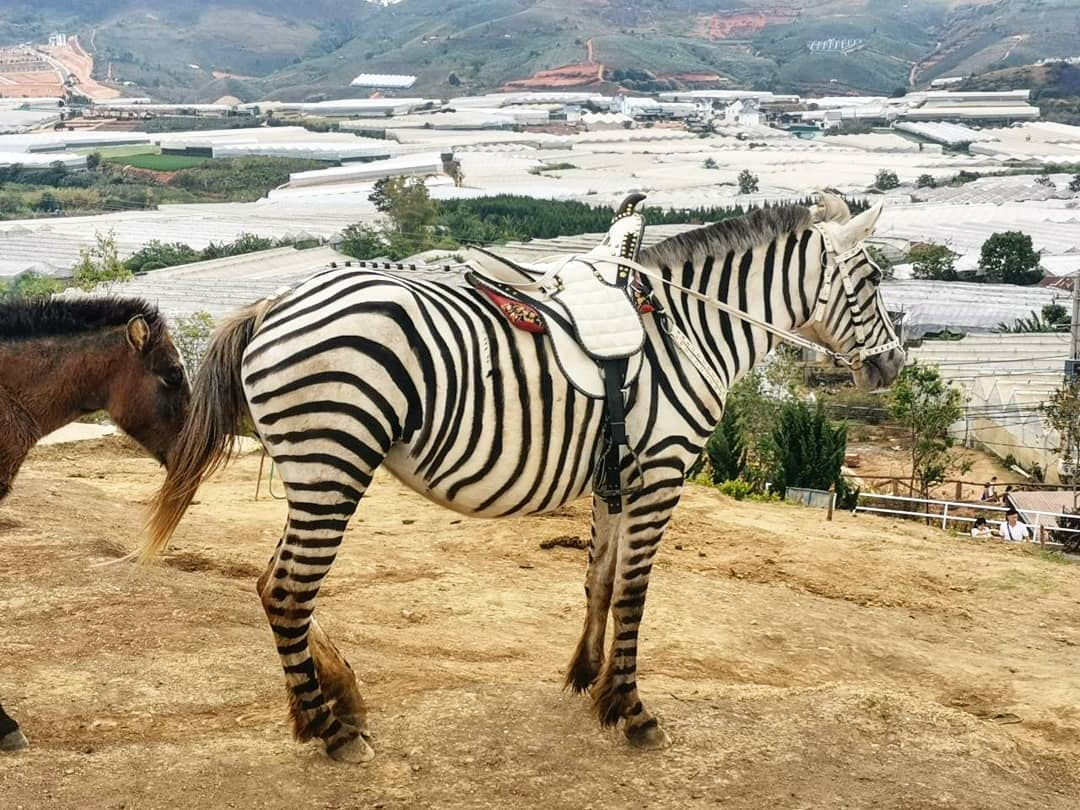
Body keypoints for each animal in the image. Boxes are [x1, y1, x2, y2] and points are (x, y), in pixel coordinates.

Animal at [141, 193, 902, 764]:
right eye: (871, 282)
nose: (893, 365)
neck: (692, 330)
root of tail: (274, 301)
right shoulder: (661, 471)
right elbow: (635, 593)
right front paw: (632, 711)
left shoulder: (615, 474)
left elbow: (600, 579)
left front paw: (588, 680)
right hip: (334, 461)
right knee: (288, 589)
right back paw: (325, 728)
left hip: (317, 468)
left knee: (273, 580)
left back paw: (340, 699)